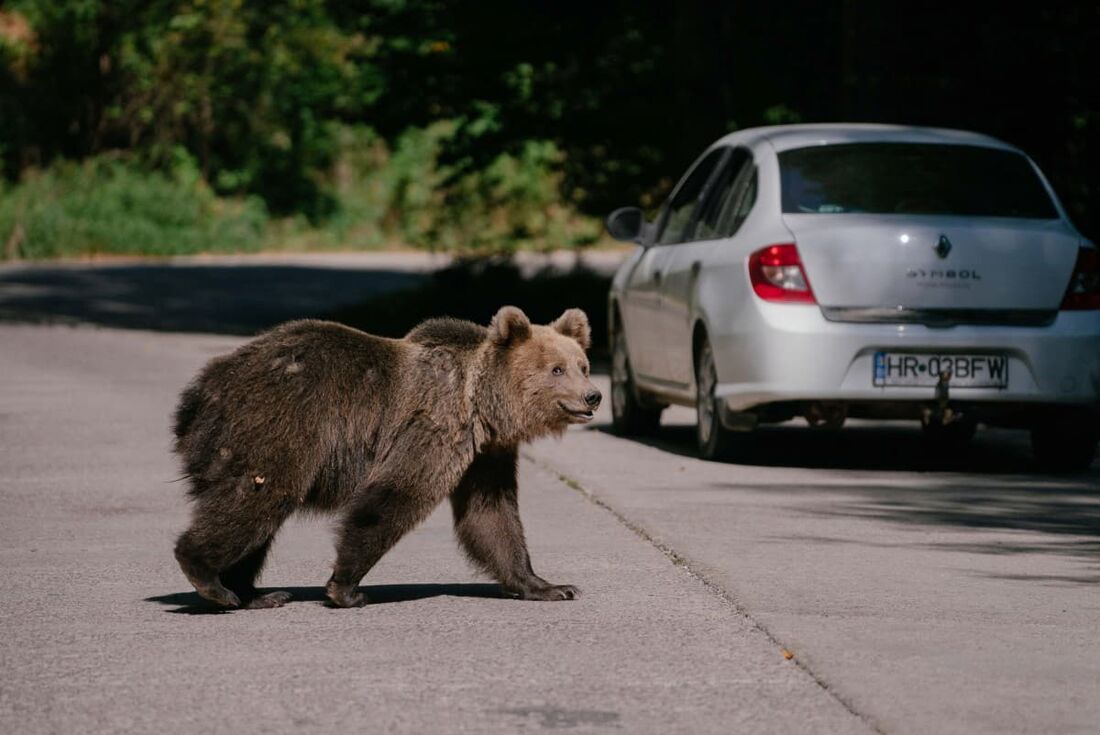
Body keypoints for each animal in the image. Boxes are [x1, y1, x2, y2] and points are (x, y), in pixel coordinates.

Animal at [171, 303, 602, 607]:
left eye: (582, 365)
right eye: (557, 369)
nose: (593, 396)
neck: (480, 406)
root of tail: (202, 391)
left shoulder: (485, 455)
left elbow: (491, 515)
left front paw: (550, 586)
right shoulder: (434, 426)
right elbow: (396, 495)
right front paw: (345, 589)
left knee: (258, 514)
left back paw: (255, 593)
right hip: (279, 423)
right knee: (257, 498)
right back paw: (211, 580)